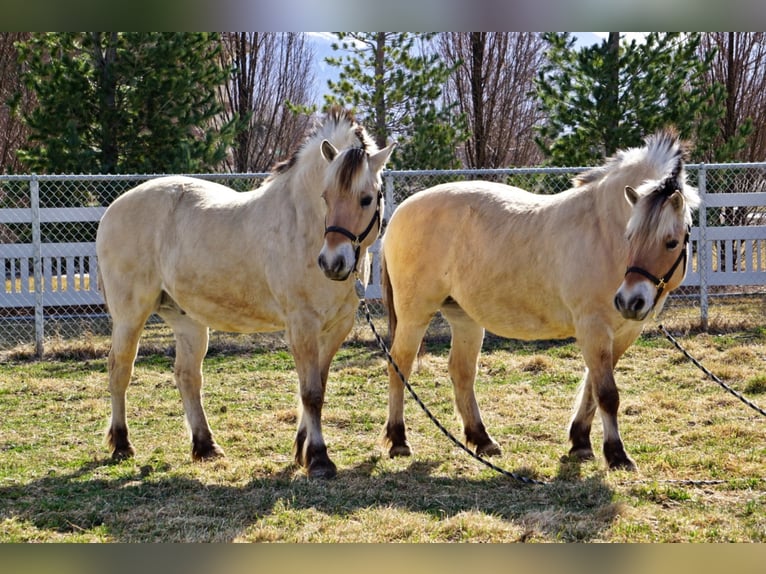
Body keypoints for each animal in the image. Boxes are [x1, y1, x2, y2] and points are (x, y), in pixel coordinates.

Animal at [97, 109, 396, 482]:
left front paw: (301, 449)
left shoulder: (336, 327)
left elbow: (317, 386)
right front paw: (318, 458)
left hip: (188, 321)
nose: (332, 262)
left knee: (187, 377)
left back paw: (205, 446)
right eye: (326, 196)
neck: (302, 223)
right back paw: (122, 443)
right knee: (120, 370)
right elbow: (310, 392)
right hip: (130, 316)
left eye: (366, 198)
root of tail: (114, 208)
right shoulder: (301, 325)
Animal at [380, 130, 700, 472]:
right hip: (414, 315)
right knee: (400, 365)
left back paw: (482, 439)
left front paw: (580, 442)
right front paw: (616, 454)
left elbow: (592, 387)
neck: (601, 230)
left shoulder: (623, 333)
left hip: (465, 319)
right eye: (631, 237)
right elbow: (606, 393)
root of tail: (400, 212)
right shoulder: (593, 327)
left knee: (462, 372)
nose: (630, 301)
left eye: (671, 242)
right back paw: (398, 440)